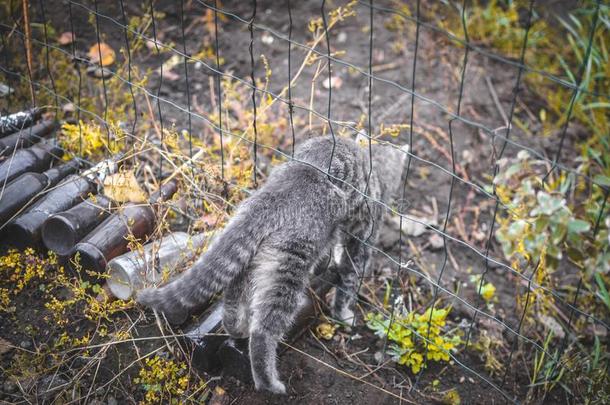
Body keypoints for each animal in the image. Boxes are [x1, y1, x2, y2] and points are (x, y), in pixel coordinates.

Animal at [135, 134, 406, 392]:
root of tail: (281, 191)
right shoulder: (363, 234)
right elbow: (350, 276)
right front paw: (343, 313)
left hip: (254, 255)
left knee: (234, 291)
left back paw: (235, 327)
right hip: (288, 264)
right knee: (264, 329)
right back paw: (267, 380)